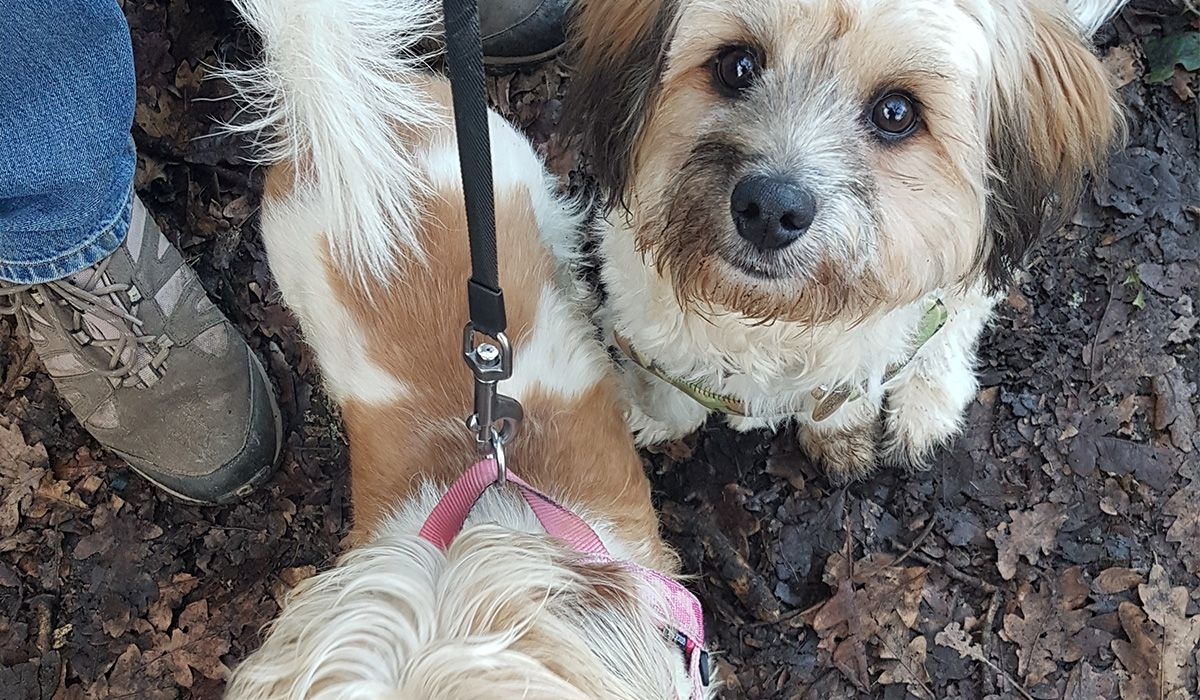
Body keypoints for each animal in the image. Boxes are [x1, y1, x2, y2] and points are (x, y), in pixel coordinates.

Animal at [566, 0, 1128, 480]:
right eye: (737, 65)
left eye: (896, 112)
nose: (770, 208)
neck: (771, 319)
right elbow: (666, 384)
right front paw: (649, 417)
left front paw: (842, 433)